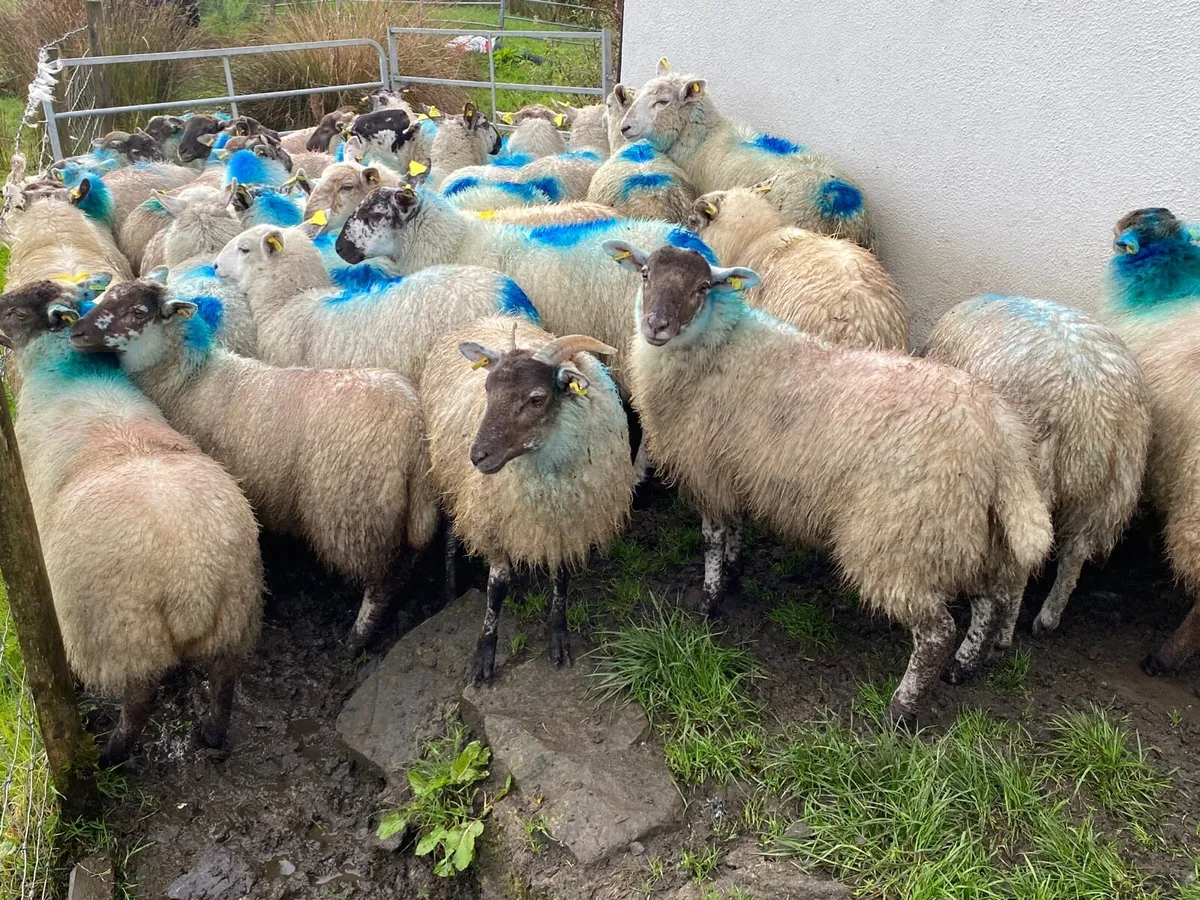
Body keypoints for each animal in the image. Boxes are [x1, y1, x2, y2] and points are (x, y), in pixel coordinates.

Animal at [0, 280, 262, 766]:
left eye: (17, 314)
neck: (66, 370)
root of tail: (194, 581)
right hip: (236, 614)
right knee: (224, 680)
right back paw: (213, 735)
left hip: (123, 636)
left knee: (140, 701)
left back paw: (110, 754)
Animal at [70, 273, 440, 652]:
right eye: (105, 295)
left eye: (138, 312)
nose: (76, 332)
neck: (188, 380)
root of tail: (414, 423)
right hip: (400, 510)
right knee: (409, 557)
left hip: (356, 513)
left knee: (381, 580)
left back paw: (357, 637)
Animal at [421, 317, 634, 682]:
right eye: (487, 388)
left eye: (536, 399)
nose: (477, 456)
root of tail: (487, 319)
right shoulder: (495, 521)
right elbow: (497, 588)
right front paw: (484, 655)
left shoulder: (566, 524)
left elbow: (561, 578)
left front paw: (558, 636)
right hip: (448, 475)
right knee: (451, 526)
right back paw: (450, 588)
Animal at [607, 242, 1052, 718]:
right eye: (646, 275)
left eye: (702, 287)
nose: (656, 326)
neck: (721, 347)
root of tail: (1000, 439)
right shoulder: (733, 470)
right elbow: (734, 528)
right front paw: (733, 569)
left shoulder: (706, 471)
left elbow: (711, 538)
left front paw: (709, 600)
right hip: (971, 532)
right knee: (989, 602)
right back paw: (963, 667)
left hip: (902, 537)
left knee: (936, 632)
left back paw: (901, 708)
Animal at [923, 294, 1150, 640]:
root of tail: (1091, 407)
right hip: (1112, 486)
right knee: (1075, 554)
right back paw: (1047, 619)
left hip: (1031, 470)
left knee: (1023, 560)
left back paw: (1005, 633)